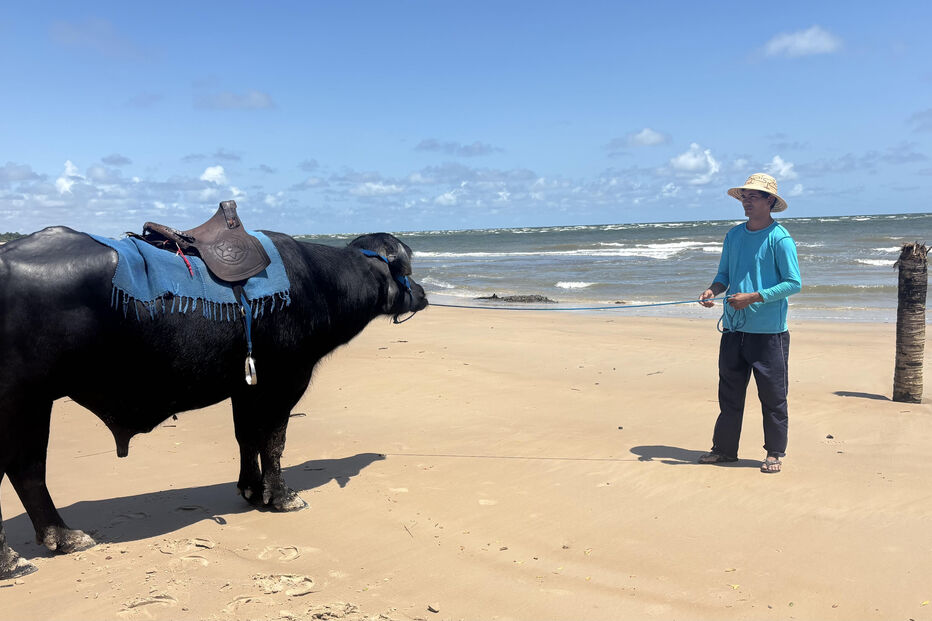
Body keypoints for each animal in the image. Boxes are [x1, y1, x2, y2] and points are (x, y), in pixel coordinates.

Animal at [0, 226, 427, 579]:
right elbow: (273, 441)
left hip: (33, 404)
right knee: (23, 468)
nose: (422, 295)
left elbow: (247, 438)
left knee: (27, 470)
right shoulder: (286, 380)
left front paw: (252, 491)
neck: (320, 282)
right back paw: (16, 560)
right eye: (404, 263)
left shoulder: (246, 387)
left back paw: (62, 537)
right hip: (23, 402)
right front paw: (283, 497)